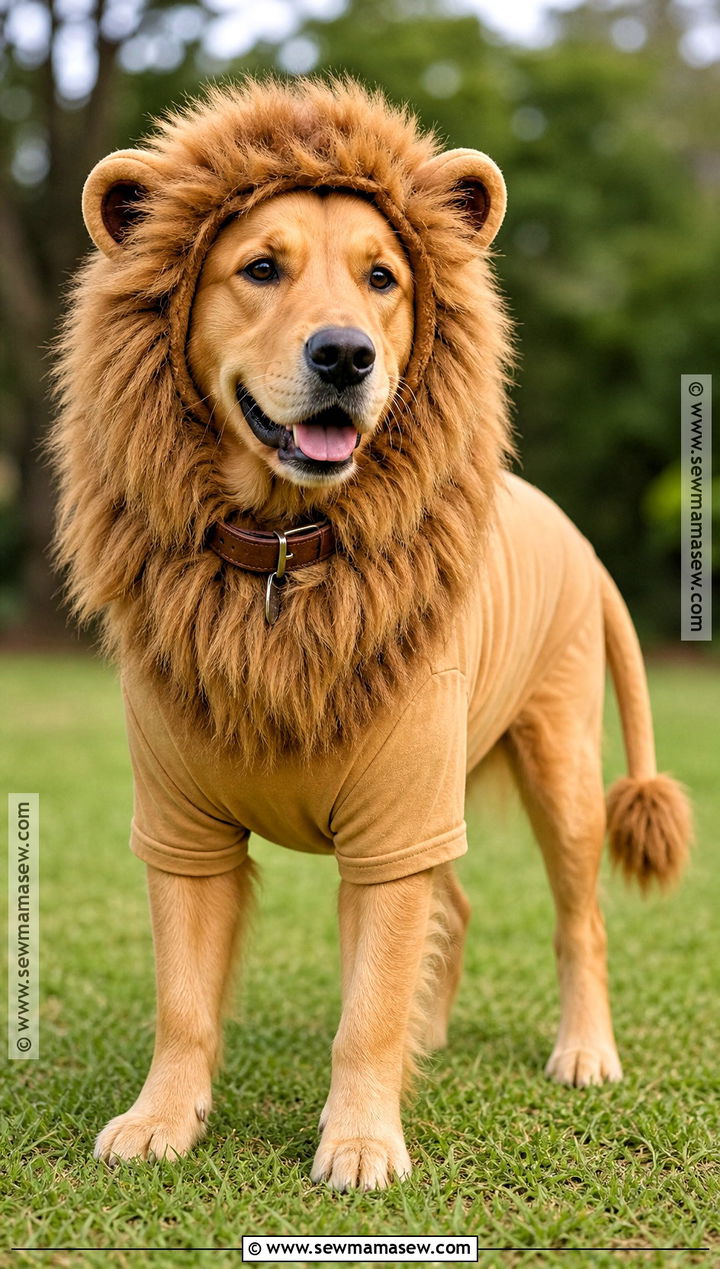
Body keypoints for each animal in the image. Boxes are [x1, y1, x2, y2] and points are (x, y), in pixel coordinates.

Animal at [51, 77, 692, 1191]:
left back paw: (585, 1052)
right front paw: (160, 1121)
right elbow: (184, 1002)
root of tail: (567, 523)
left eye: (383, 277)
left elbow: (370, 1006)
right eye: (260, 268)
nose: (346, 353)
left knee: (583, 923)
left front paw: (359, 1141)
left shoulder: (399, 820)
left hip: (560, 768)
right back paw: (433, 1040)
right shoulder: (181, 826)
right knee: (458, 913)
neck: (278, 553)